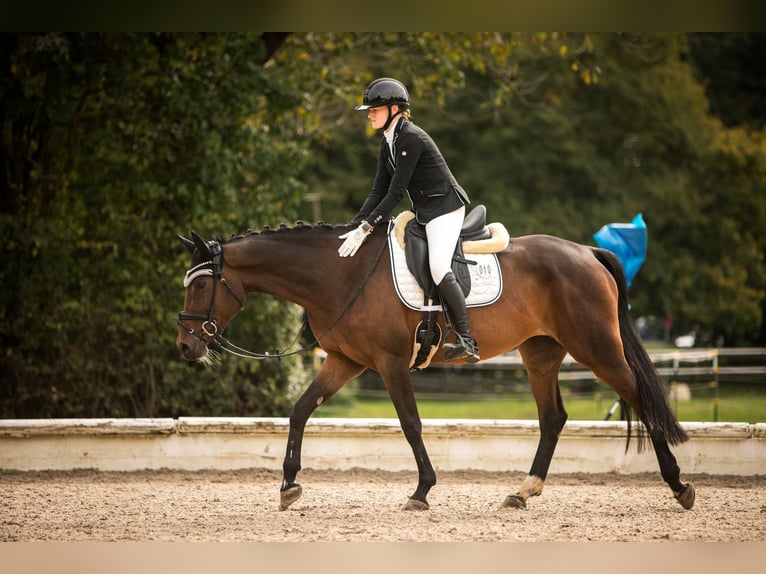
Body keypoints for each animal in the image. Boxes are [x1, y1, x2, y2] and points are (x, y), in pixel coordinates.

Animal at [176, 214, 695, 512]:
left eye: (199, 286)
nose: (185, 347)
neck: (339, 274)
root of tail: (586, 251)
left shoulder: (388, 363)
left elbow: (410, 424)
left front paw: (422, 490)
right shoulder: (345, 360)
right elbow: (301, 410)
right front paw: (288, 484)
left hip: (596, 348)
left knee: (640, 398)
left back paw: (678, 486)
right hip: (541, 354)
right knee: (553, 418)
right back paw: (523, 491)